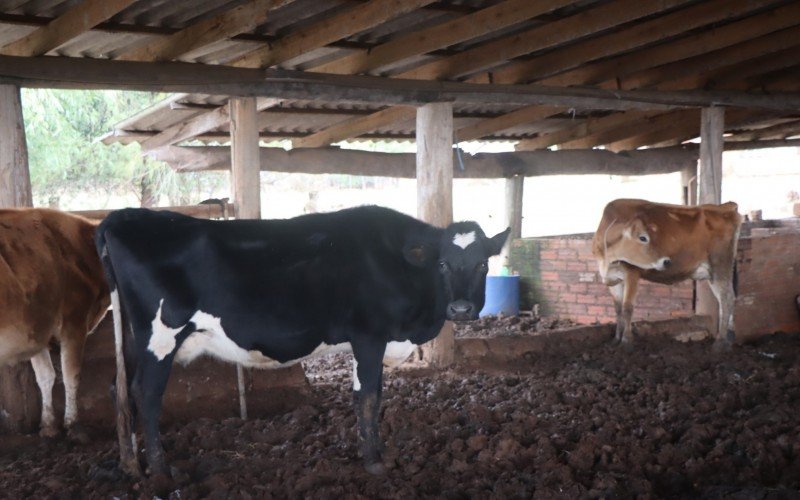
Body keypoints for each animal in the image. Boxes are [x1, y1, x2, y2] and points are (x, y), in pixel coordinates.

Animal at [0, 209, 109, 436]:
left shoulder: (37, 330)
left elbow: (45, 377)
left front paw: (49, 425)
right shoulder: (74, 323)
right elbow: (70, 375)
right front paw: (73, 424)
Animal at [94, 206, 506, 476]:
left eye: (484, 264)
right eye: (443, 264)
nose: (461, 308)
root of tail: (121, 217)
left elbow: (371, 397)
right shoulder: (369, 336)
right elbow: (367, 397)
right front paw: (373, 461)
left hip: (131, 337)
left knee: (119, 388)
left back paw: (130, 465)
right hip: (160, 335)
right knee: (146, 394)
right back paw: (162, 473)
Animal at [592, 198, 740, 348]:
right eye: (643, 238)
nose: (666, 261)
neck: (607, 261)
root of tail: (726, 207)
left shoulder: (631, 273)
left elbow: (627, 308)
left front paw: (626, 340)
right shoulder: (614, 280)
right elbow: (618, 310)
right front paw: (616, 339)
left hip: (720, 266)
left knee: (726, 299)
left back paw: (720, 342)